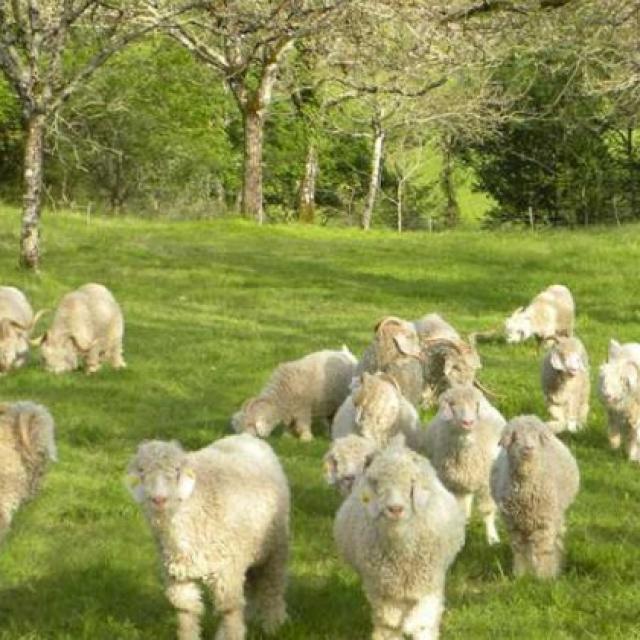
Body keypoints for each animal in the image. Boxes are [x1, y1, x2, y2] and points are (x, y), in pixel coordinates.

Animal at [126, 436, 288, 640]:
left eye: (177, 470)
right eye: (142, 471)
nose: (159, 499)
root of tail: (245, 437)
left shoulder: (228, 570)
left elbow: (230, 610)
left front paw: (234, 634)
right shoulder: (177, 575)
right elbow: (186, 611)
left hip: (275, 547)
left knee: (273, 587)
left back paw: (274, 625)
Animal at [336, 438, 464, 640]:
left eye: (411, 483)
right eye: (377, 484)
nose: (395, 509)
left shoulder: (428, 582)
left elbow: (422, 620)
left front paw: (414, 627)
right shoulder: (383, 589)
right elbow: (390, 623)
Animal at [422, 384, 508, 544]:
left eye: (475, 405)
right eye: (452, 405)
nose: (468, 422)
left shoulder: (486, 484)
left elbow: (487, 511)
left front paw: (492, 539)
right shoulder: (453, 484)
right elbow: (459, 509)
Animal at [490, 416, 580, 580]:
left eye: (536, 437)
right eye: (515, 437)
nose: (528, 448)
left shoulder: (544, 521)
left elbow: (543, 549)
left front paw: (544, 577)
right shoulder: (514, 524)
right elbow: (520, 550)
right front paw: (521, 575)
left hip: (556, 513)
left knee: (556, 539)